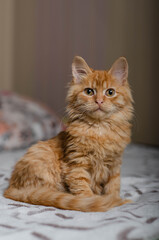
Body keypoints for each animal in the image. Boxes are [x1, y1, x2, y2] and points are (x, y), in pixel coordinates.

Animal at [4, 56, 133, 212]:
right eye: (89, 91)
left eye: (110, 92)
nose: (99, 101)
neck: (99, 129)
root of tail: (11, 187)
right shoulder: (76, 164)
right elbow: (84, 190)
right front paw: (95, 201)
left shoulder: (114, 165)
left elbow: (113, 187)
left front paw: (114, 199)